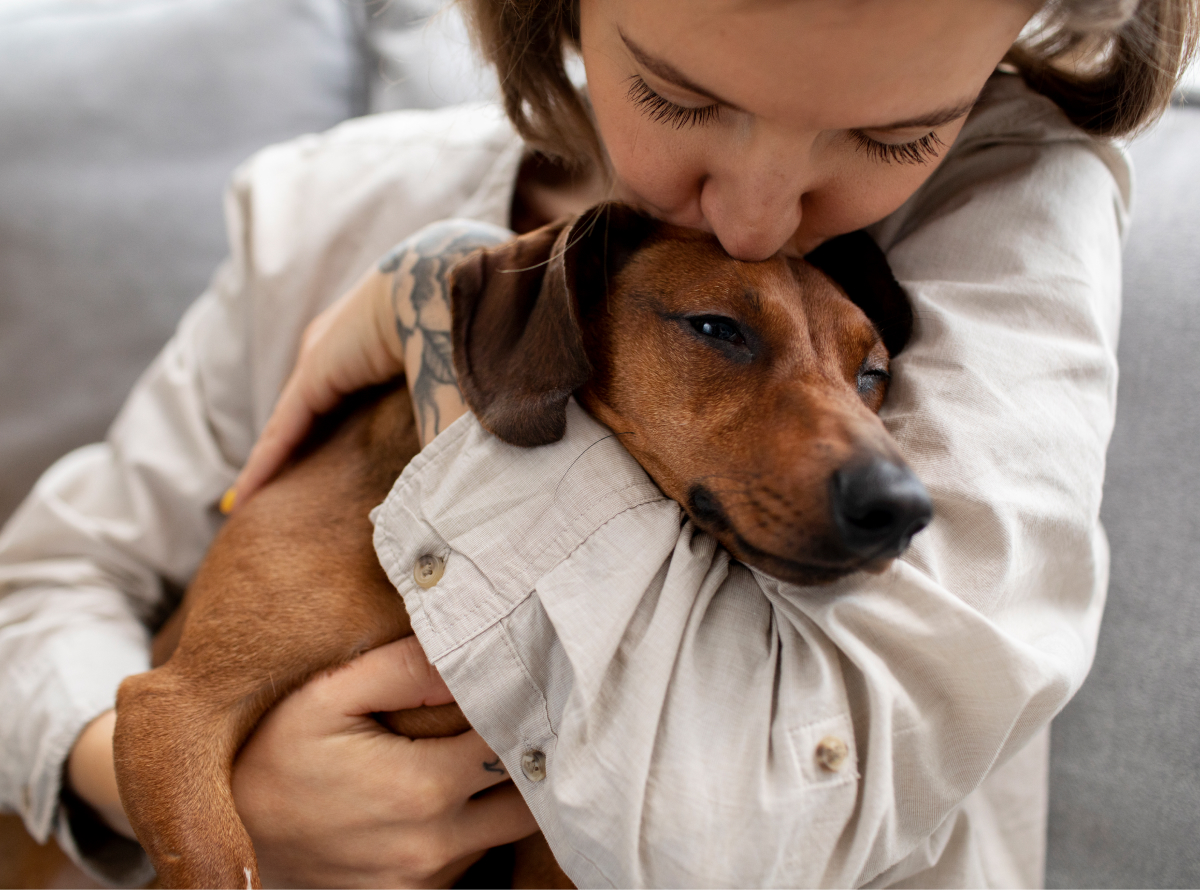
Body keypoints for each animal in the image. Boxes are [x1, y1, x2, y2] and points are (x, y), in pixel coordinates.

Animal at [112, 203, 931, 890]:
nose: (904, 507)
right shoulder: (173, 710)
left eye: (873, 375)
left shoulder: (549, 862)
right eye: (715, 328)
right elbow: (219, 858)